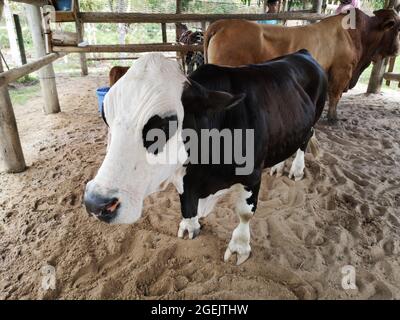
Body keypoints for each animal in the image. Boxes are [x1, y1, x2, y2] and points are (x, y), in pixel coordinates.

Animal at [205, 8, 398, 122]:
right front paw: (333, 118)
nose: (396, 50)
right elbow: (335, 96)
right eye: (396, 27)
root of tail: (222, 23)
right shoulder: (342, 71)